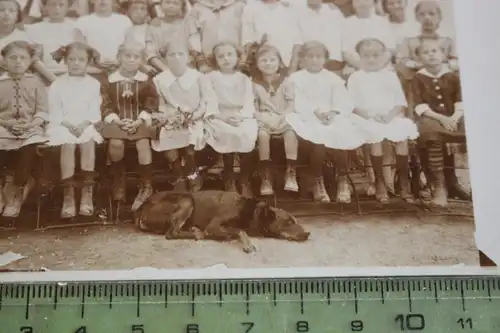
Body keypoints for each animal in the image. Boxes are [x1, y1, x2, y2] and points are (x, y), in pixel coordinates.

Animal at [135, 189, 310, 252]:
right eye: (288, 222)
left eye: (295, 220)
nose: (308, 233)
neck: (251, 211)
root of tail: (140, 210)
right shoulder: (213, 226)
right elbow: (240, 230)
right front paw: (247, 244)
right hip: (187, 199)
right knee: (171, 233)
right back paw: (197, 233)